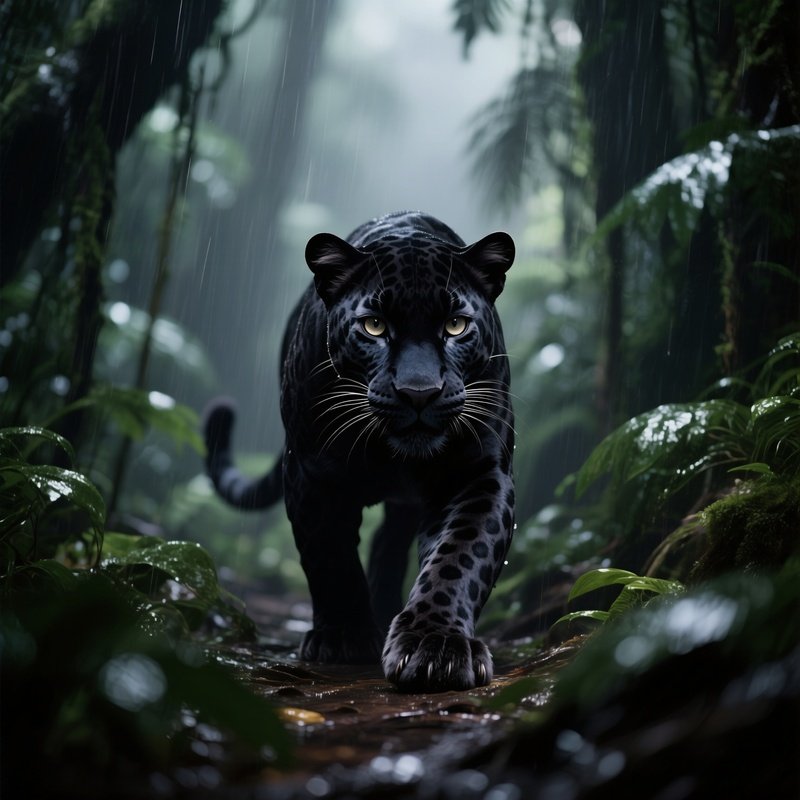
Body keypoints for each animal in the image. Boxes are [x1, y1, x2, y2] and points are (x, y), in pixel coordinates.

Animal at [204, 211, 515, 692]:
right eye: (374, 326)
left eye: (455, 326)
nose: (419, 392)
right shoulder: (311, 474)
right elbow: (330, 557)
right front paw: (344, 638)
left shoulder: (480, 472)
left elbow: (459, 556)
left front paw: (435, 645)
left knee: (390, 544)